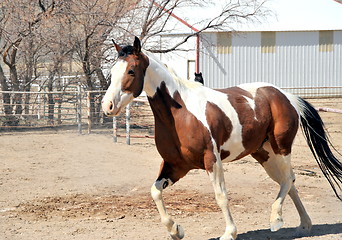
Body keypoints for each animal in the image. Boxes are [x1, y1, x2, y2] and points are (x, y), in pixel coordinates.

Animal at [102, 37, 342, 240]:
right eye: (112, 71)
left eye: (131, 70)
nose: (108, 106)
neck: (181, 114)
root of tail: (287, 97)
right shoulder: (175, 165)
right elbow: (155, 191)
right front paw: (175, 229)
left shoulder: (212, 160)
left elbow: (221, 195)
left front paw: (229, 232)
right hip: (265, 154)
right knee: (288, 182)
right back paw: (304, 225)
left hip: (281, 148)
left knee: (288, 179)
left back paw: (276, 220)